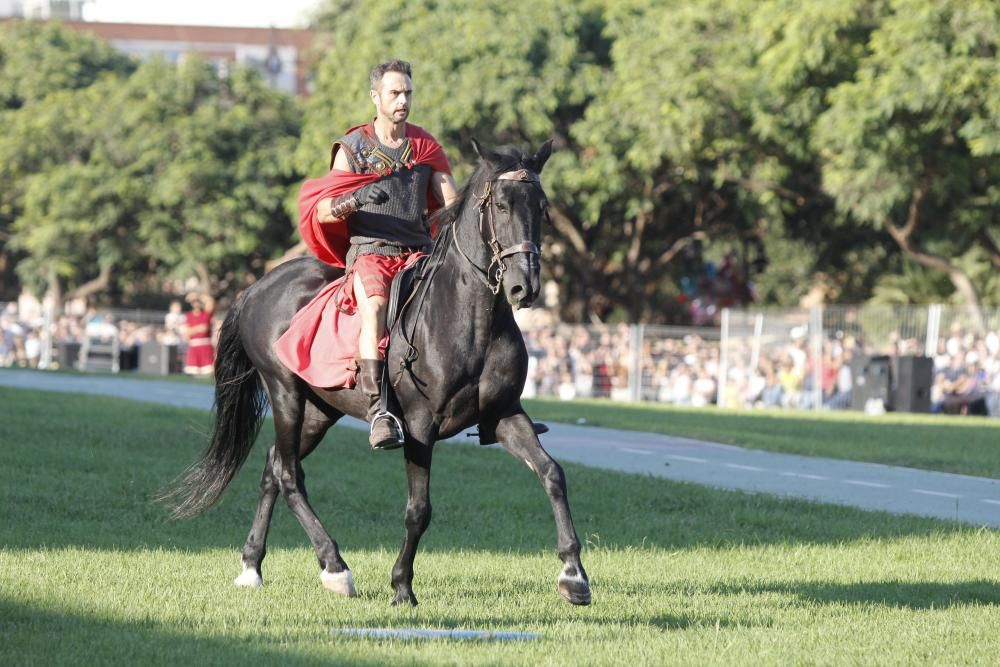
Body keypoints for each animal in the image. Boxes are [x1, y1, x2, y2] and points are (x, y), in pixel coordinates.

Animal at [160, 138, 588, 608]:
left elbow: (553, 474)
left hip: (320, 410)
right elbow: (418, 509)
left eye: (542, 206)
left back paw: (252, 565)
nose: (523, 286)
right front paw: (402, 586)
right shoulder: (419, 426)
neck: (471, 319)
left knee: (274, 466)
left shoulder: (505, 415)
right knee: (289, 475)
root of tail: (257, 288)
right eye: (500, 204)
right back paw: (335, 567)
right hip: (285, 392)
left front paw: (573, 575)